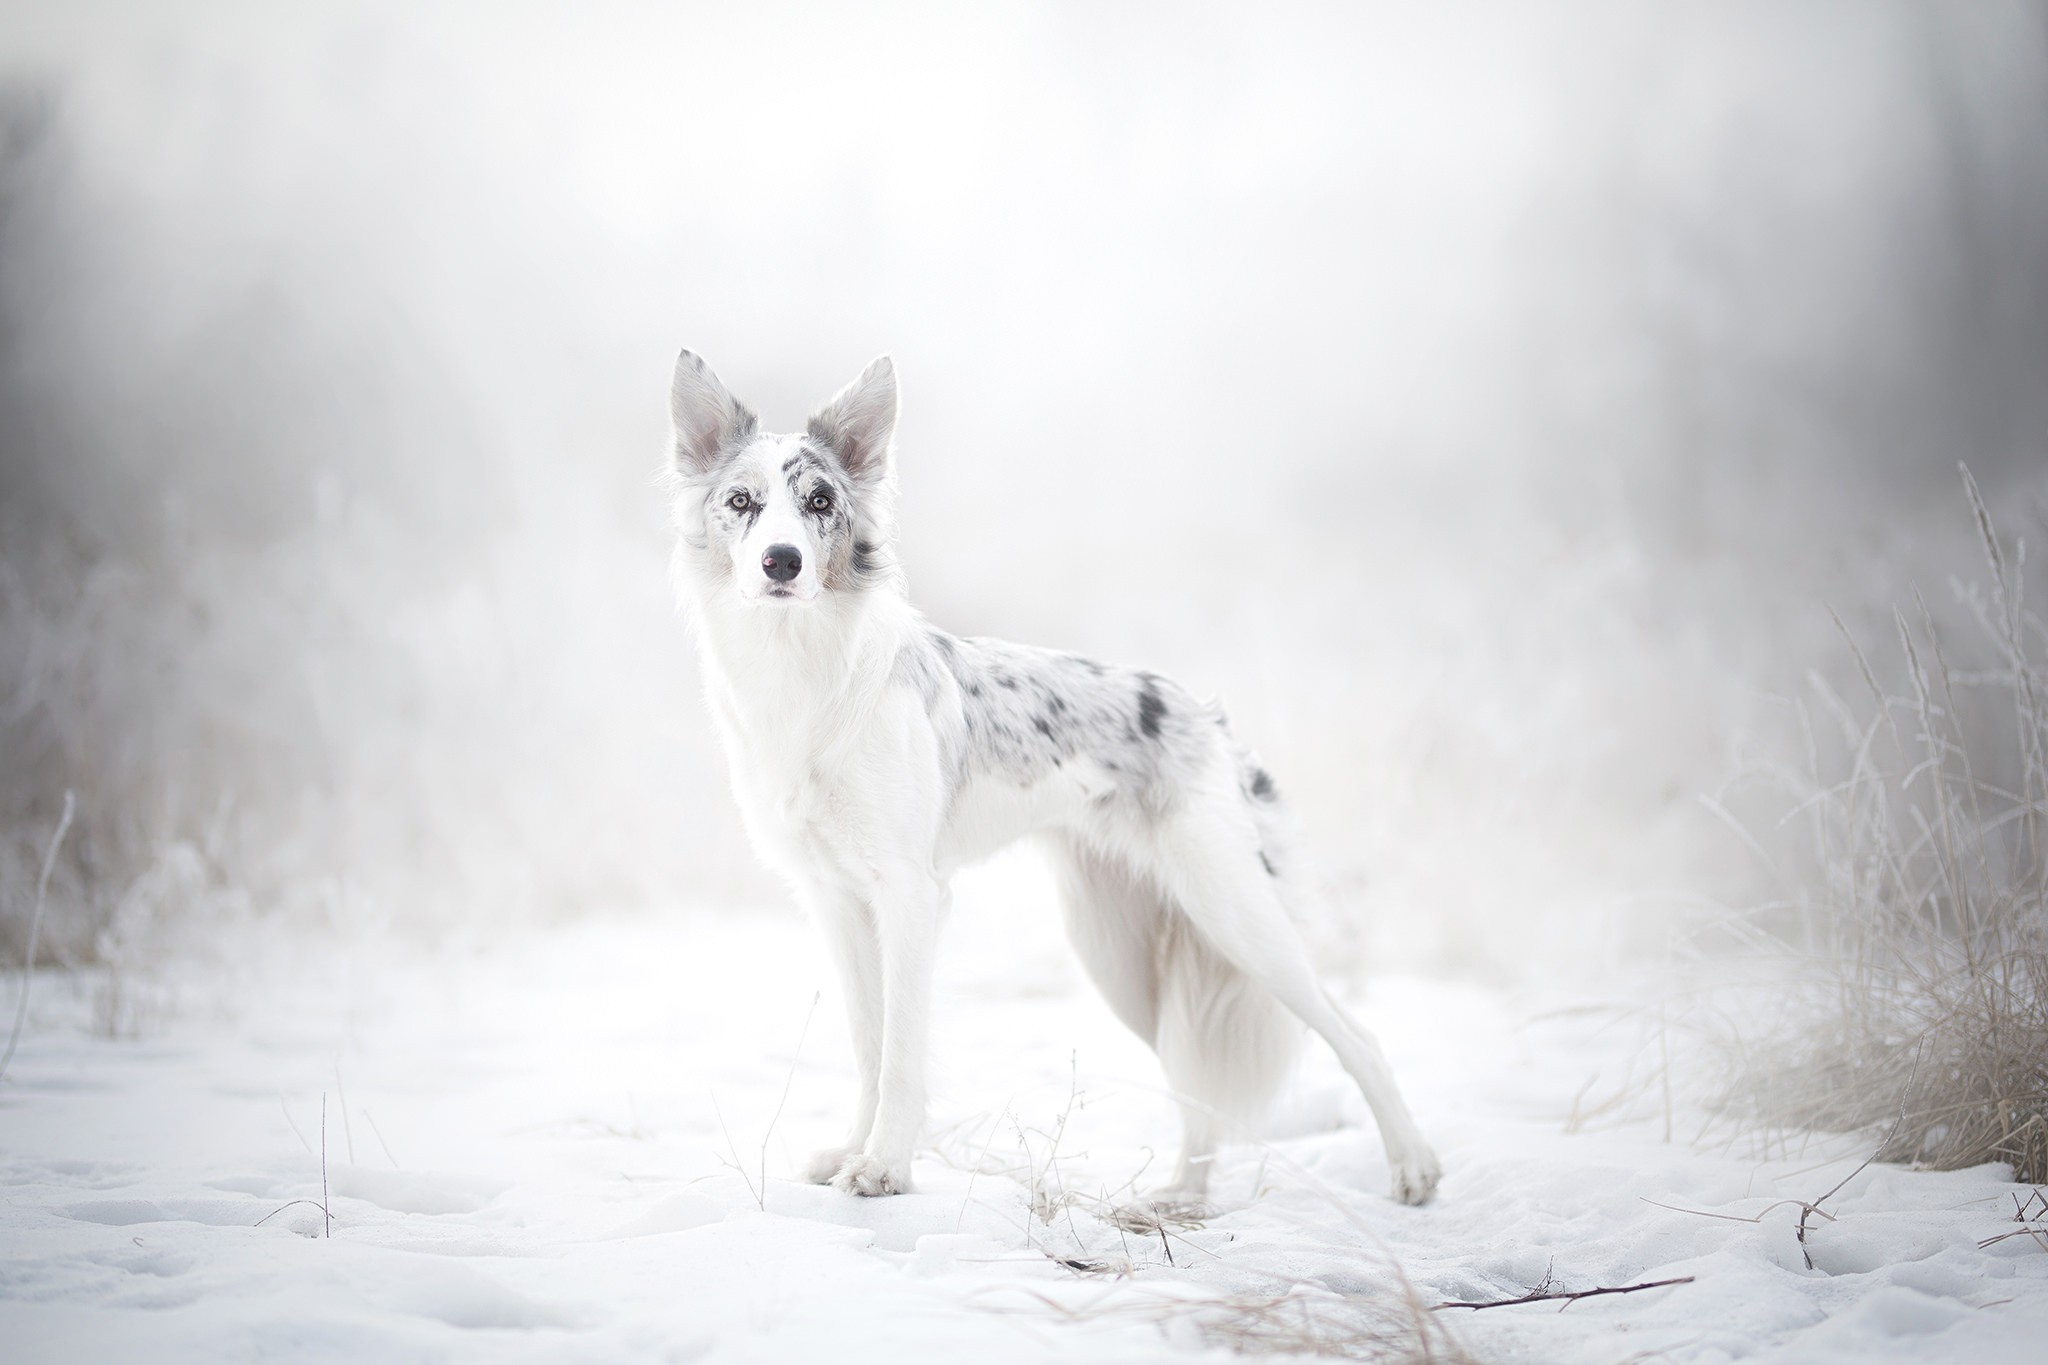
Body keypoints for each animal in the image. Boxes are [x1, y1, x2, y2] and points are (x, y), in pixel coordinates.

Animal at [671, 351, 1441, 1203]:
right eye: (741, 501)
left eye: (820, 502)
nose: (782, 561)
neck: (803, 672)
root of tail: (1207, 717)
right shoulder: (835, 900)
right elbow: (869, 1044)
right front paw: (852, 1151)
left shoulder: (910, 894)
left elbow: (900, 1053)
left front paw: (885, 1166)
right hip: (1120, 955)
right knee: (1195, 1080)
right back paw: (1181, 1197)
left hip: (1236, 916)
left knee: (1358, 1036)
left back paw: (1412, 1165)